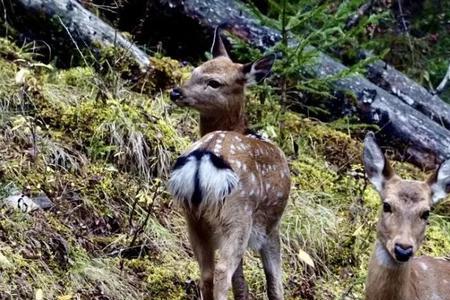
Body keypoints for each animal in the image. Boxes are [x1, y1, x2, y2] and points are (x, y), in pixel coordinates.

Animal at [167, 27, 290, 298]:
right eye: (195, 71)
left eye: (214, 82)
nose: (176, 92)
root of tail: (203, 160)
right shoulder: (272, 226)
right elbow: (274, 282)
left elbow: (242, 282)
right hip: (237, 215)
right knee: (223, 271)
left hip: (193, 218)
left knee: (207, 273)